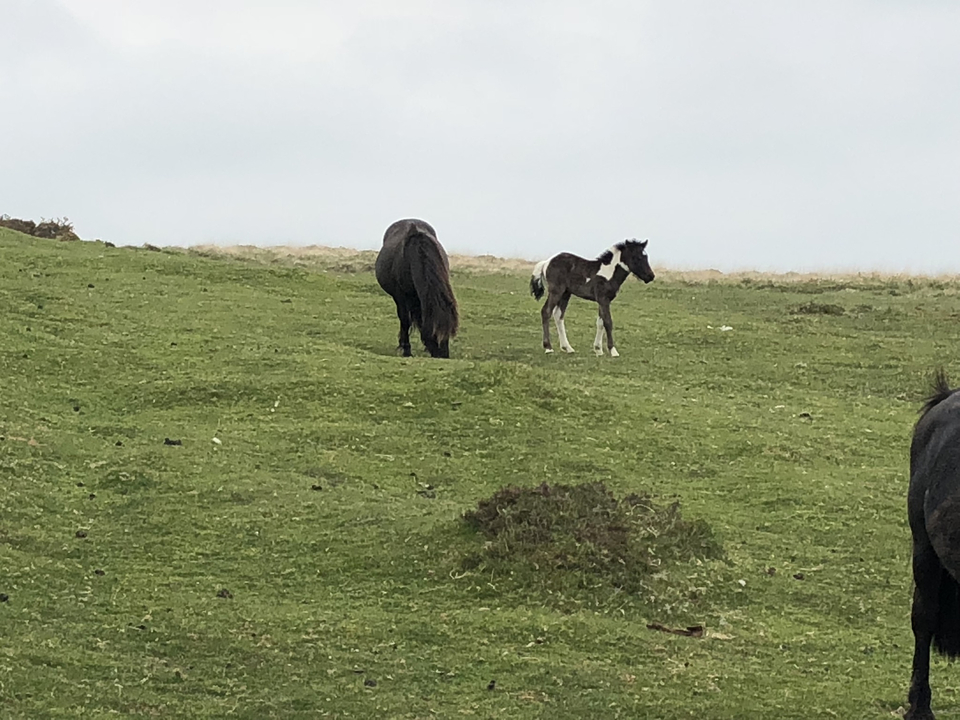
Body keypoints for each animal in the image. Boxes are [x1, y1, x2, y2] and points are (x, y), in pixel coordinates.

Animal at [375, 218, 459, 359]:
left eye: (449, 332)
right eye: (434, 333)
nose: (443, 356)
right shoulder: (401, 296)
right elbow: (405, 320)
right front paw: (406, 350)